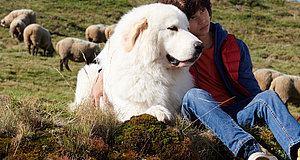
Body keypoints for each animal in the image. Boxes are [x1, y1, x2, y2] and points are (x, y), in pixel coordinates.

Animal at [71, 3, 204, 121]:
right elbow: (142, 111)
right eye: (172, 28)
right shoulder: (128, 109)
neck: (153, 71)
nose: (200, 46)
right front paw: (158, 111)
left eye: (188, 28)